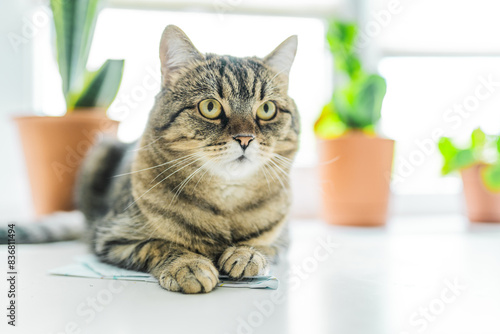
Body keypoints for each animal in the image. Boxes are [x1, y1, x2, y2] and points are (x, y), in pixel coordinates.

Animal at [4, 24, 300, 294]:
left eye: (267, 109)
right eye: (210, 107)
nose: (245, 138)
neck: (226, 205)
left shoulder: (284, 239)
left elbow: (265, 245)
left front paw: (247, 253)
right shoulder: (113, 237)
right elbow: (161, 244)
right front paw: (188, 265)